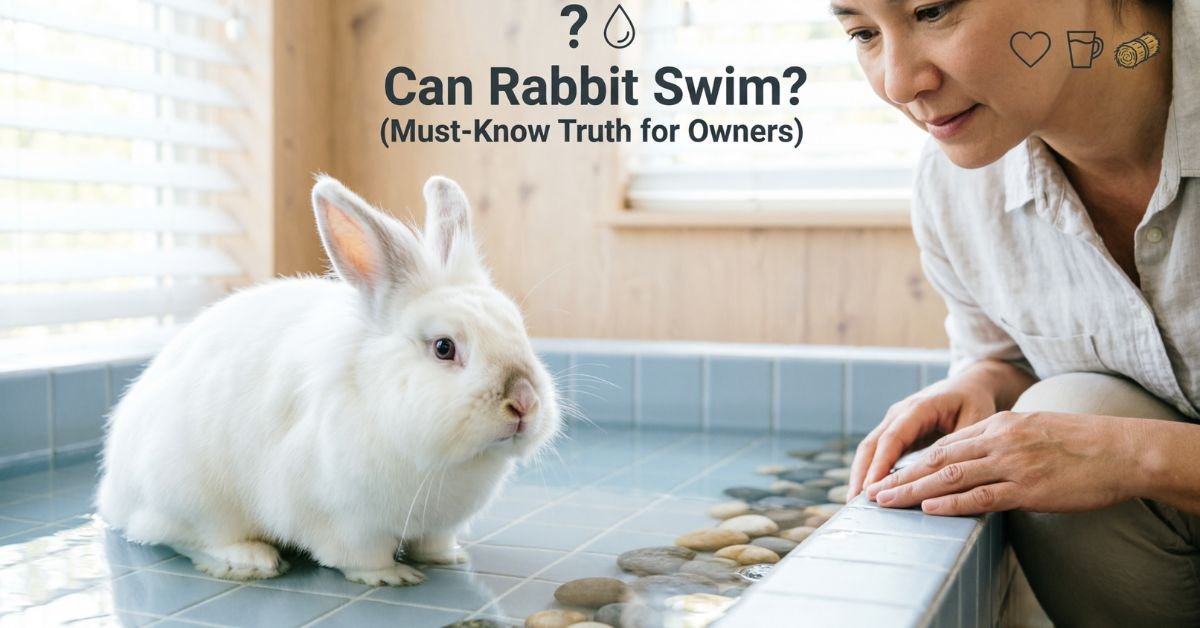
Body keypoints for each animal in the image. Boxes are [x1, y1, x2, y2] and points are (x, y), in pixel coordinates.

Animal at [96, 175, 561, 586]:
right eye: (444, 348)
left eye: (518, 328)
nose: (524, 402)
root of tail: (113, 494)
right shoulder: (346, 519)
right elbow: (359, 555)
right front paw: (392, 577)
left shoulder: (438, 524)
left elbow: (435, 542)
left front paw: (448, 558)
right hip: (190, 495)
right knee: (186, 537)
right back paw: (253, 558)